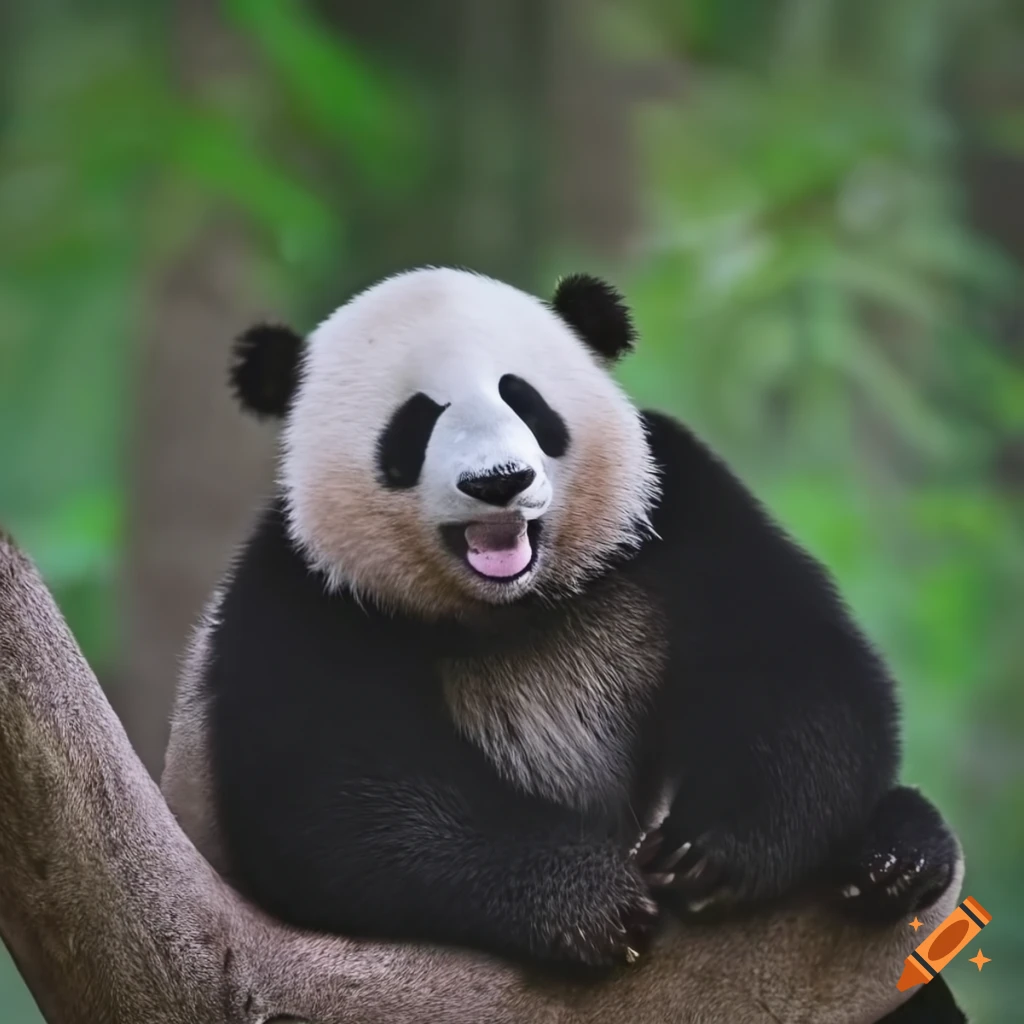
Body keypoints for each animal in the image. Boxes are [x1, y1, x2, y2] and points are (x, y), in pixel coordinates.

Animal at [162, 267, 967, 1022]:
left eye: (523, 400)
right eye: (416, 423)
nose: (499, 481)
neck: (509, 609)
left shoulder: (675, 502)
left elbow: (795, 668)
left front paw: (706, 854)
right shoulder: (305, 594)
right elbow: (340, 798)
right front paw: (589, 901)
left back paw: (897, 858)